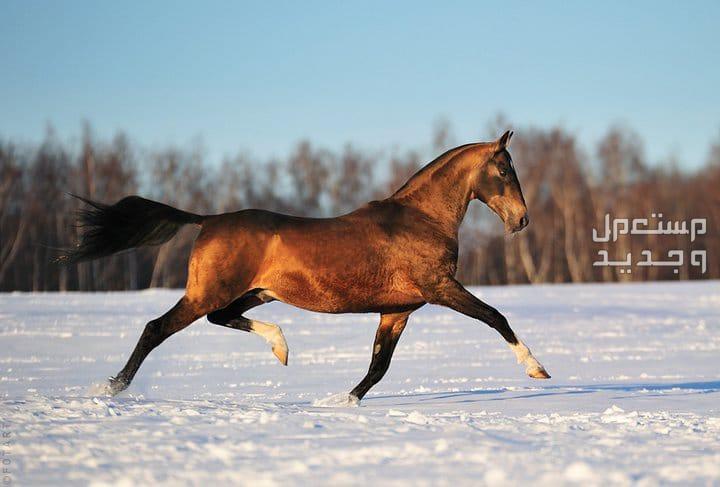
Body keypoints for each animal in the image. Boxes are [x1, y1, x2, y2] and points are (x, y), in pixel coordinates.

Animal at [64, 131, 552, 404]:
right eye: (504, 170)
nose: (522, 220)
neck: (422, 219)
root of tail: (207, 220)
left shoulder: (398, 310)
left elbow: (378, 365)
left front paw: (341, 402)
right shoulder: (440, 288)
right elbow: (495, 317)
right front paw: (537, 369)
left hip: (253, 293)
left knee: (220, 318)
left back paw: (281, 347)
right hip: (209, 291)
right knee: (156, 328)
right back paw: (112, 387)